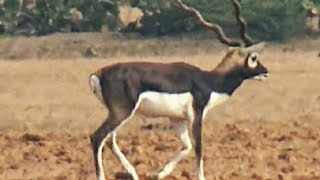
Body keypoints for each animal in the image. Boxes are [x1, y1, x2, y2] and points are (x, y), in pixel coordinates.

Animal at [89, 0, 268, 180]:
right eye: (254, 58)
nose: (265, 71)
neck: (209, 81)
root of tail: (98, 73)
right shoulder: (196, 116)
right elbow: (198, 148)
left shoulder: (177, 119)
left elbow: (186, 146)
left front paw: (159, 174)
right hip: (122, 112)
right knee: (97, 137)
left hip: (118, 114)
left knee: (110, 140)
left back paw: (133, 174)